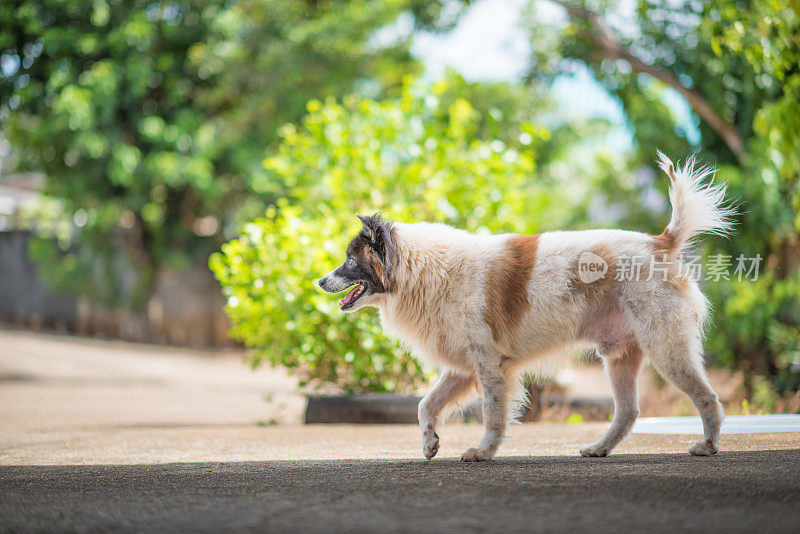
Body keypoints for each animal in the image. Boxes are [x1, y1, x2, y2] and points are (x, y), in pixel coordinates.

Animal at [318, 153, 732, 462]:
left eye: (350, 261)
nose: (319, 282)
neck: (422, 268)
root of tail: (661, 242)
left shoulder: (489, 366)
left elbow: (492, 415)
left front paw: (483, 451)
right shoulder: (462, 368)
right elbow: (425, 405)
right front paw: (429, 442)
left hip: (665, 348)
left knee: (707, 398)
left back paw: (708, 445)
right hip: (620, 356)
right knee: (628, 412)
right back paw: (599, 448)